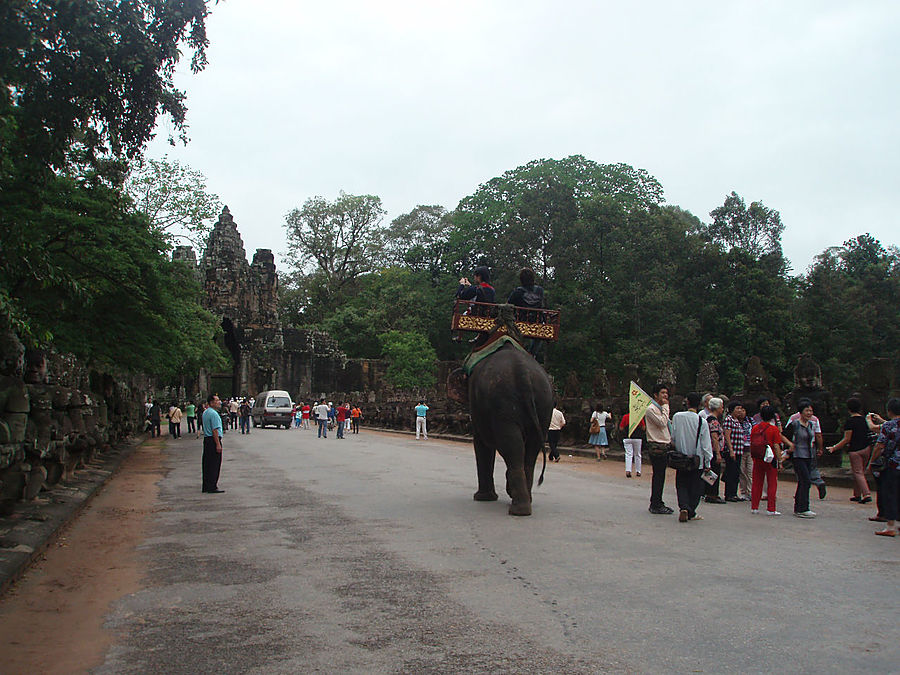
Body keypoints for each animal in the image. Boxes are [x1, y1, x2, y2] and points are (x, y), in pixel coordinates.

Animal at [468, 344, 552, 516]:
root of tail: (522, 371)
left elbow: (481, 442)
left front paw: (482, 498)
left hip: (503, 404)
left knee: (512, 447)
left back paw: (519, 509)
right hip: (544, 404)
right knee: (529, 449)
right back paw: (525, 504)